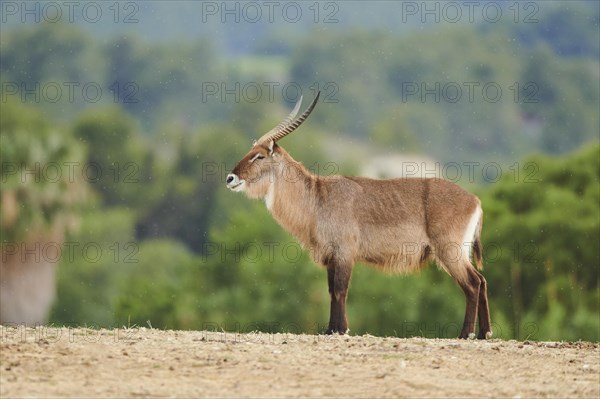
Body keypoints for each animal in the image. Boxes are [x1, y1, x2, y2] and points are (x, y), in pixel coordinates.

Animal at [225, 92, 492, 340]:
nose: (230, 178)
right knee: (482, 280)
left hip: (450, 250)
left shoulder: (344, 253)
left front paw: (341, 329)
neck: (317, 197)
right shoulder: (332, 257)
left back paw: (466, 334)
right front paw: (330, 330)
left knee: (472, 283)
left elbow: (340, 290)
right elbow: (331, 291)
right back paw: (484, 333)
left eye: (259, 156)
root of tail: (475, 200)